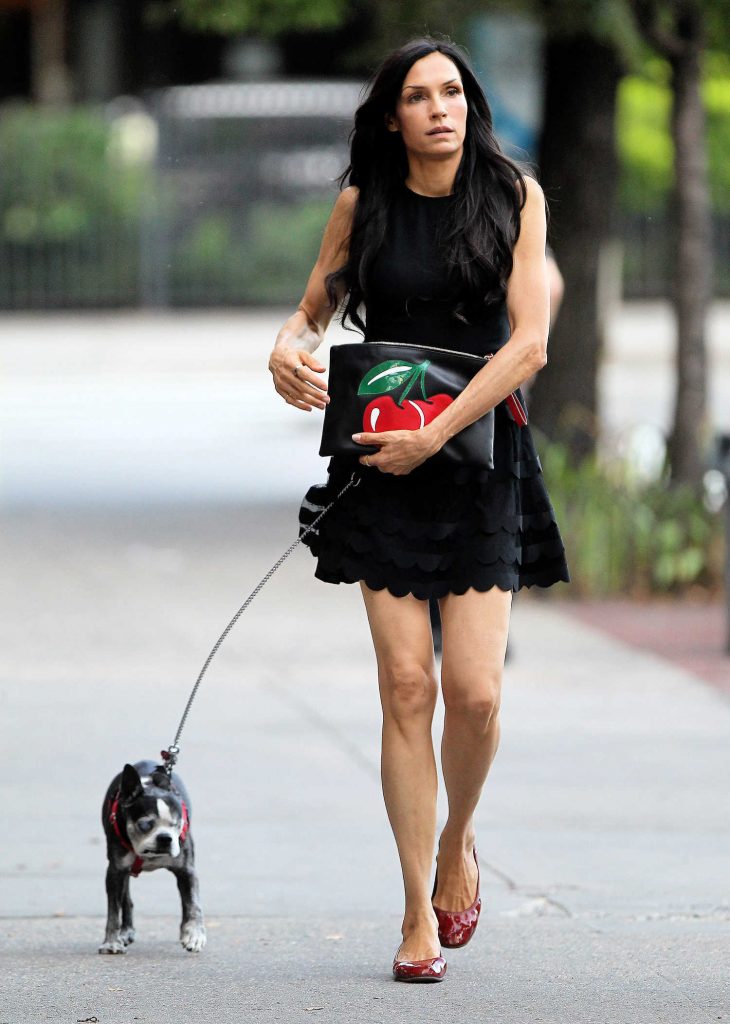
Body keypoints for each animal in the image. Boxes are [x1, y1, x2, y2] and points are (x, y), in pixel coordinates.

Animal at [96, 757, 204, 954]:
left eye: (177, 823)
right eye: (145, 824)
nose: (165, 838)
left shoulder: (187, 871)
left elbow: (193, 904)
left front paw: (194, 935)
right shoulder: (115, 871)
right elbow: (113, 911)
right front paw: (111, 943)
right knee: (126, 899)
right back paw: (126, 931)